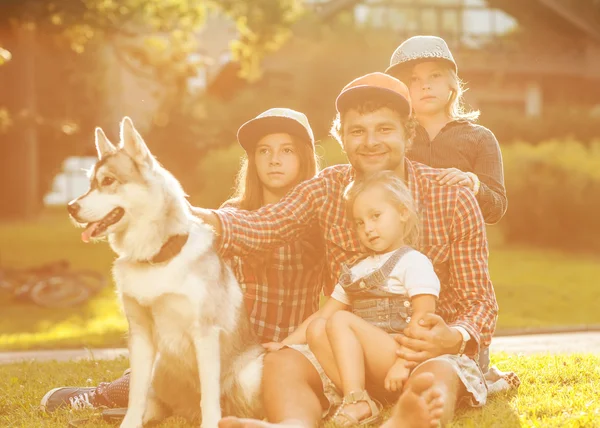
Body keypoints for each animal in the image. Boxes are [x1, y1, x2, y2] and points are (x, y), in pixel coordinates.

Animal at [67, 117, 262, 428]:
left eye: (108, 181)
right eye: (90, 184)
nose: (70, 207)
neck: (156, 258)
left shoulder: (205, 334)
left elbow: (209, 396)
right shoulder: (140, 336)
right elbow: (135, 395)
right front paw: (129, 422)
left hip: (250, 375)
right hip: (160, 367)